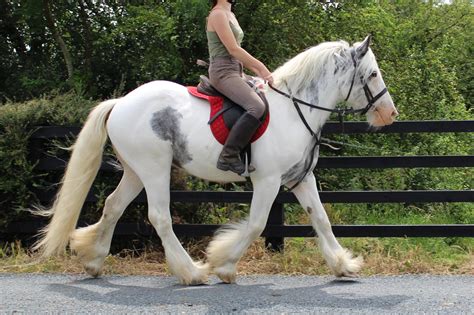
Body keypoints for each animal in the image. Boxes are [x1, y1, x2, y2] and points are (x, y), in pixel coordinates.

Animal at [33, 35, 398, 286]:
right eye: (373, 74)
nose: (390, 114)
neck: (295, 110)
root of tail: (121, 102)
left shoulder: (300, 178)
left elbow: (321, 219)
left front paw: (344, 265)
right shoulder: (268, 181)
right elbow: (256, 224)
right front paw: (222, 264)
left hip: (135, 172)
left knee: (113, 206)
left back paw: (93, 260)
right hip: (154, 169)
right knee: (159, 217)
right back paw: (191, 272)